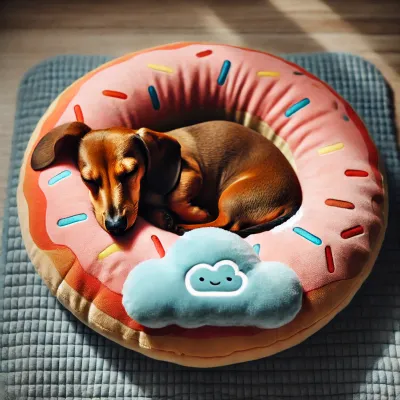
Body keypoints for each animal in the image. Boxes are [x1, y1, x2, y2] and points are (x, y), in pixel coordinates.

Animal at [31, 120, 302, 236]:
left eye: (130, 171)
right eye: (89, 180)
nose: (116, 226)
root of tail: (294, 199)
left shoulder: (191, 173)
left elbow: (174, 198)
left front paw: (190, 214)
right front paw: (161, 216)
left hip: (232, 196)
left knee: (225, 223)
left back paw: (187, 226)